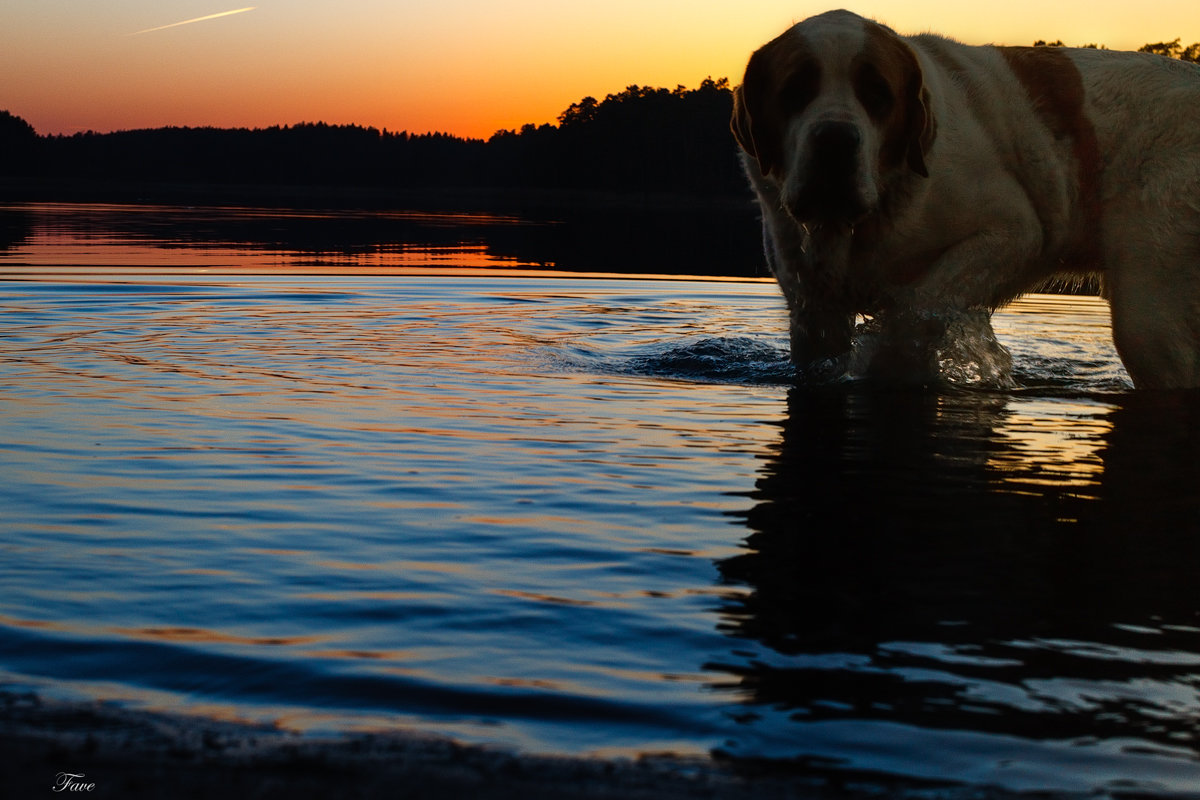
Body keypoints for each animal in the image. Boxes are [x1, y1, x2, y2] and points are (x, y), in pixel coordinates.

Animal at [729, 9, 1200, 388]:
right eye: (794, 91)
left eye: (878, 95)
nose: (835, 139)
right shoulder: (812, 307)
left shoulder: (1013, 232)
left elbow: (914, 307)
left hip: (1152, 306)